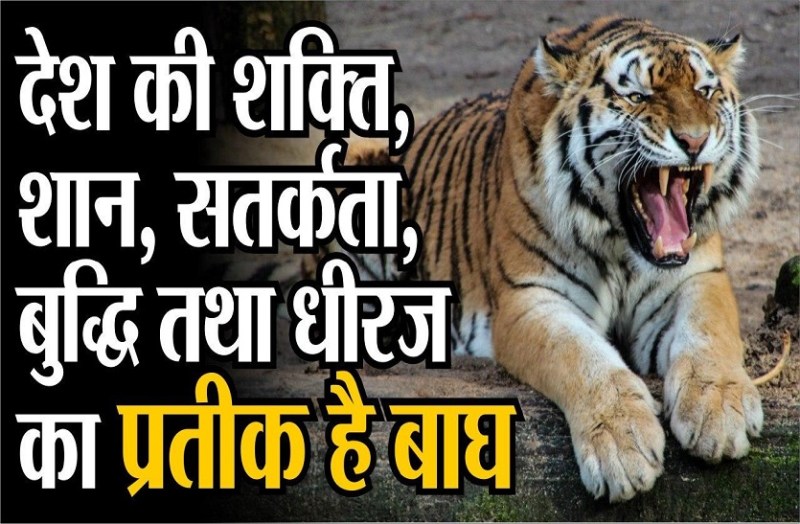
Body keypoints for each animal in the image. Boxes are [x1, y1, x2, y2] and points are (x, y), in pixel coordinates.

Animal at [339, 16, 763, 502]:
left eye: (705, 92)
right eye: (637, 96)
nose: (695, 140)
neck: (622, 246)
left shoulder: (698, 276)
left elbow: (709, 333)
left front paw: (719, 410)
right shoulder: (531, 298)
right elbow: (581, 357)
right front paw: (622, 446)